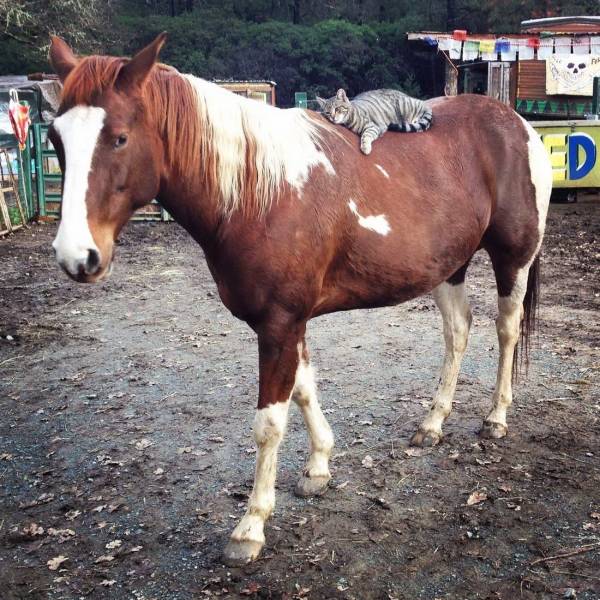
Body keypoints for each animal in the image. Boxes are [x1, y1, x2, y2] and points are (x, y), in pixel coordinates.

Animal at [48, 34, 552, 568]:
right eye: (56, 138)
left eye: (119, 137)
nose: (77, 256)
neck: (256, 192)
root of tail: (515, 123)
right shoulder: (290, 322)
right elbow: (304, 389)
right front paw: (318, 468)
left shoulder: (279, 324)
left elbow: (269, 422)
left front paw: (251, 526)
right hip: (448, 265)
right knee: (458, 330)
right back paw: (433, 423)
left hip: (514, 258)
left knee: (506, 329)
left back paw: (496, 418)